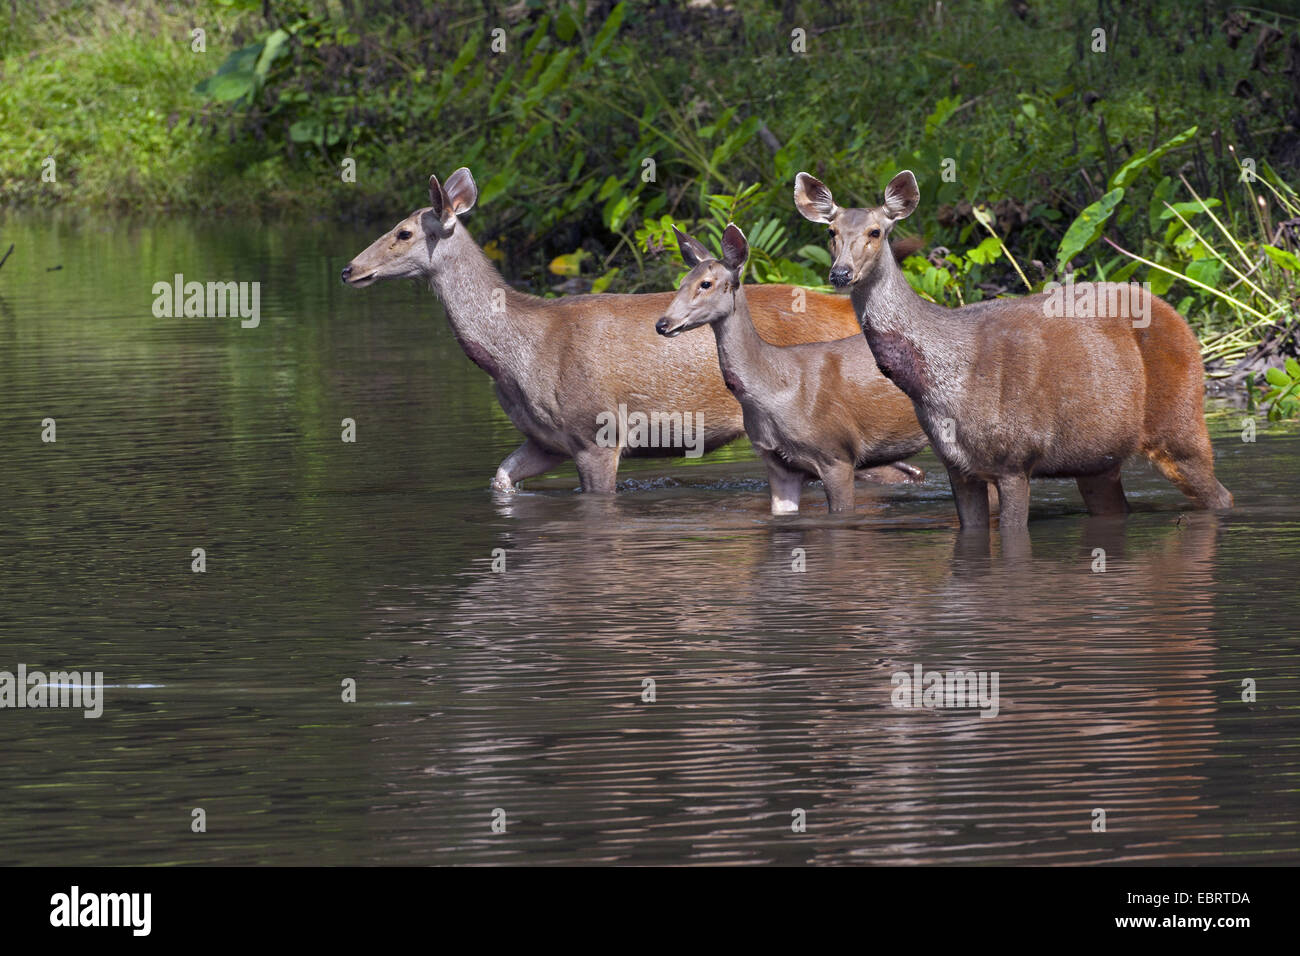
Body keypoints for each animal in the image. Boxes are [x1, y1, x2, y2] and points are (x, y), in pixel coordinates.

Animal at [655, 223, 930, 512]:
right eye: (681, 284)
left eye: (706, 283)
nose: (663, 324)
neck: (775, 389)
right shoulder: (779, 465)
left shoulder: (837, 453)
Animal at [790, 166, 1227, 538]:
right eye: (830, 231)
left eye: (876, 231)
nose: (840, 273)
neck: (938, 381)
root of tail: (1178, 319)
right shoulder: (958, 467)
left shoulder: (1016, 458)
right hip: (1098, 460)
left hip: (1180, 424)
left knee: (1220, 494)